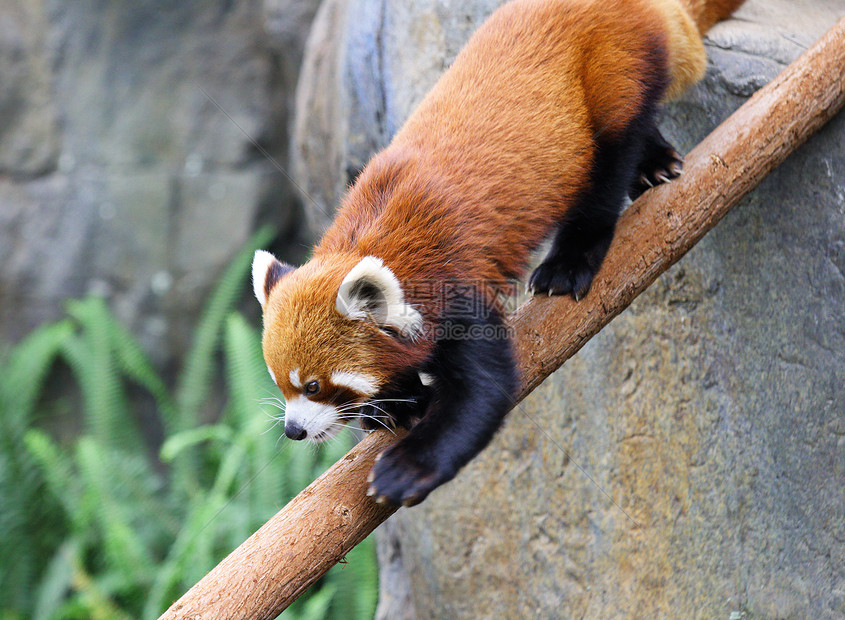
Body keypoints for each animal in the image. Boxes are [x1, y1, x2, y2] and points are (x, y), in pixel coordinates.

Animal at [254, 0, 740, 506]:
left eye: (315, 385)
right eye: (279, 382)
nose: (293, 430)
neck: (371, 234)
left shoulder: (454, 288)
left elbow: (485, 390)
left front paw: (408, 467)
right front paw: (396, 402)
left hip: (612, 73)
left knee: (611, 158)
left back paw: (575, 253)